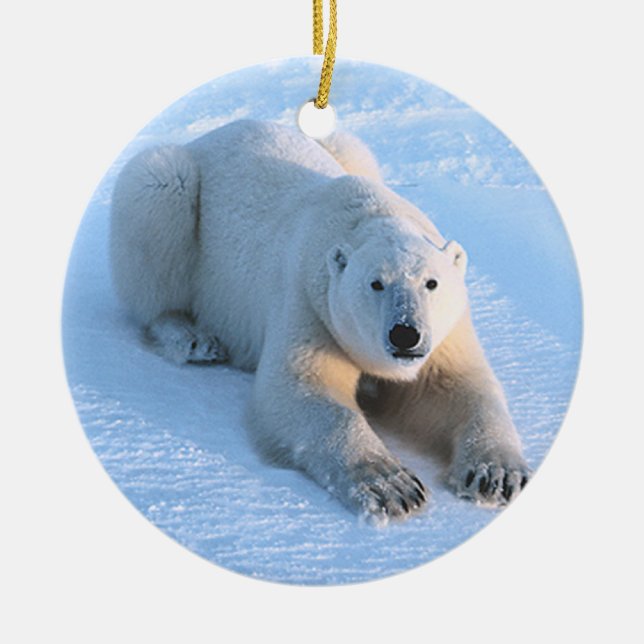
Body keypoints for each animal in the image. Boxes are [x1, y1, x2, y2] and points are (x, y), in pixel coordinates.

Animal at [110, 119, 530, 524]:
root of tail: (208, 136)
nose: (405, 334)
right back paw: (193, 338)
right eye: (376, 283)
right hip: (173, 192)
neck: (367, 216)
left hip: (346, 148)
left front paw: (496, 476)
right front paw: (393, 487)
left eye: (431, 282)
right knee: (158, 205)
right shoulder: (309, 303)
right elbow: (301, 389)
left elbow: (459, 387)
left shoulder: (447, 332)